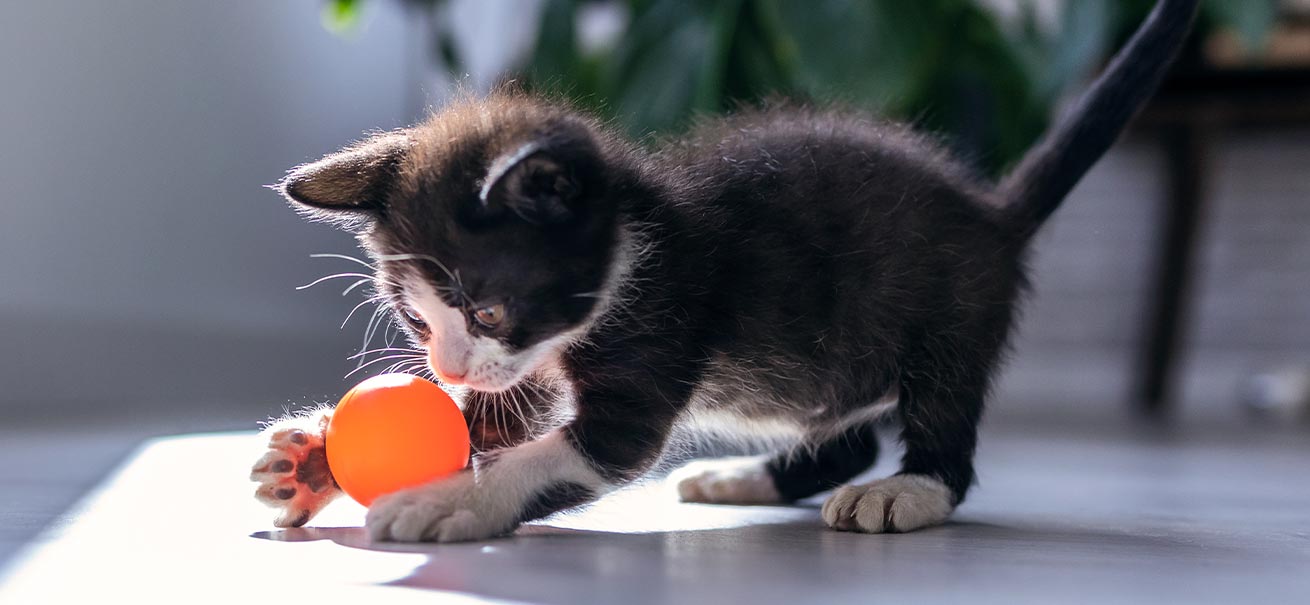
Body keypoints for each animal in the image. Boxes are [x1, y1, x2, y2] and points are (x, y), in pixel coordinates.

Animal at [252, 0, 1199, 539]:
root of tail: (992, 211)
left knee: (943, 419)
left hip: (951, 312)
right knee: (847, 430)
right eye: (418, 319)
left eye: (485, 310)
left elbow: (560, 452)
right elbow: (498, 416)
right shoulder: (529, 366)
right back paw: (747, 476)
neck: (634, 248)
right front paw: (313, 461)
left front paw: (449, 499)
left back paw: (911, 489)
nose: (444, 366)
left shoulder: (660, 328)